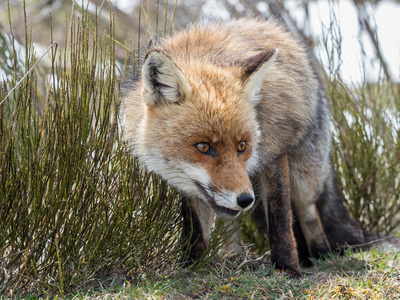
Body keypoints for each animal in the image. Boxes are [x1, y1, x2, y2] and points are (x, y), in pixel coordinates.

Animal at [122, 18, 396, 276]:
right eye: (203, 147)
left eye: (242, 145)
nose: (245, 200)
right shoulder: (190, 184)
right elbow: (195, 231)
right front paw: (191, 267)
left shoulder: (274, 151)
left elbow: (280, 218)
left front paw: (288, 269)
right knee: (232, 223)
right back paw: (233, 256)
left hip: (305, 174)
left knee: (309, 214)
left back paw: (321, 256)